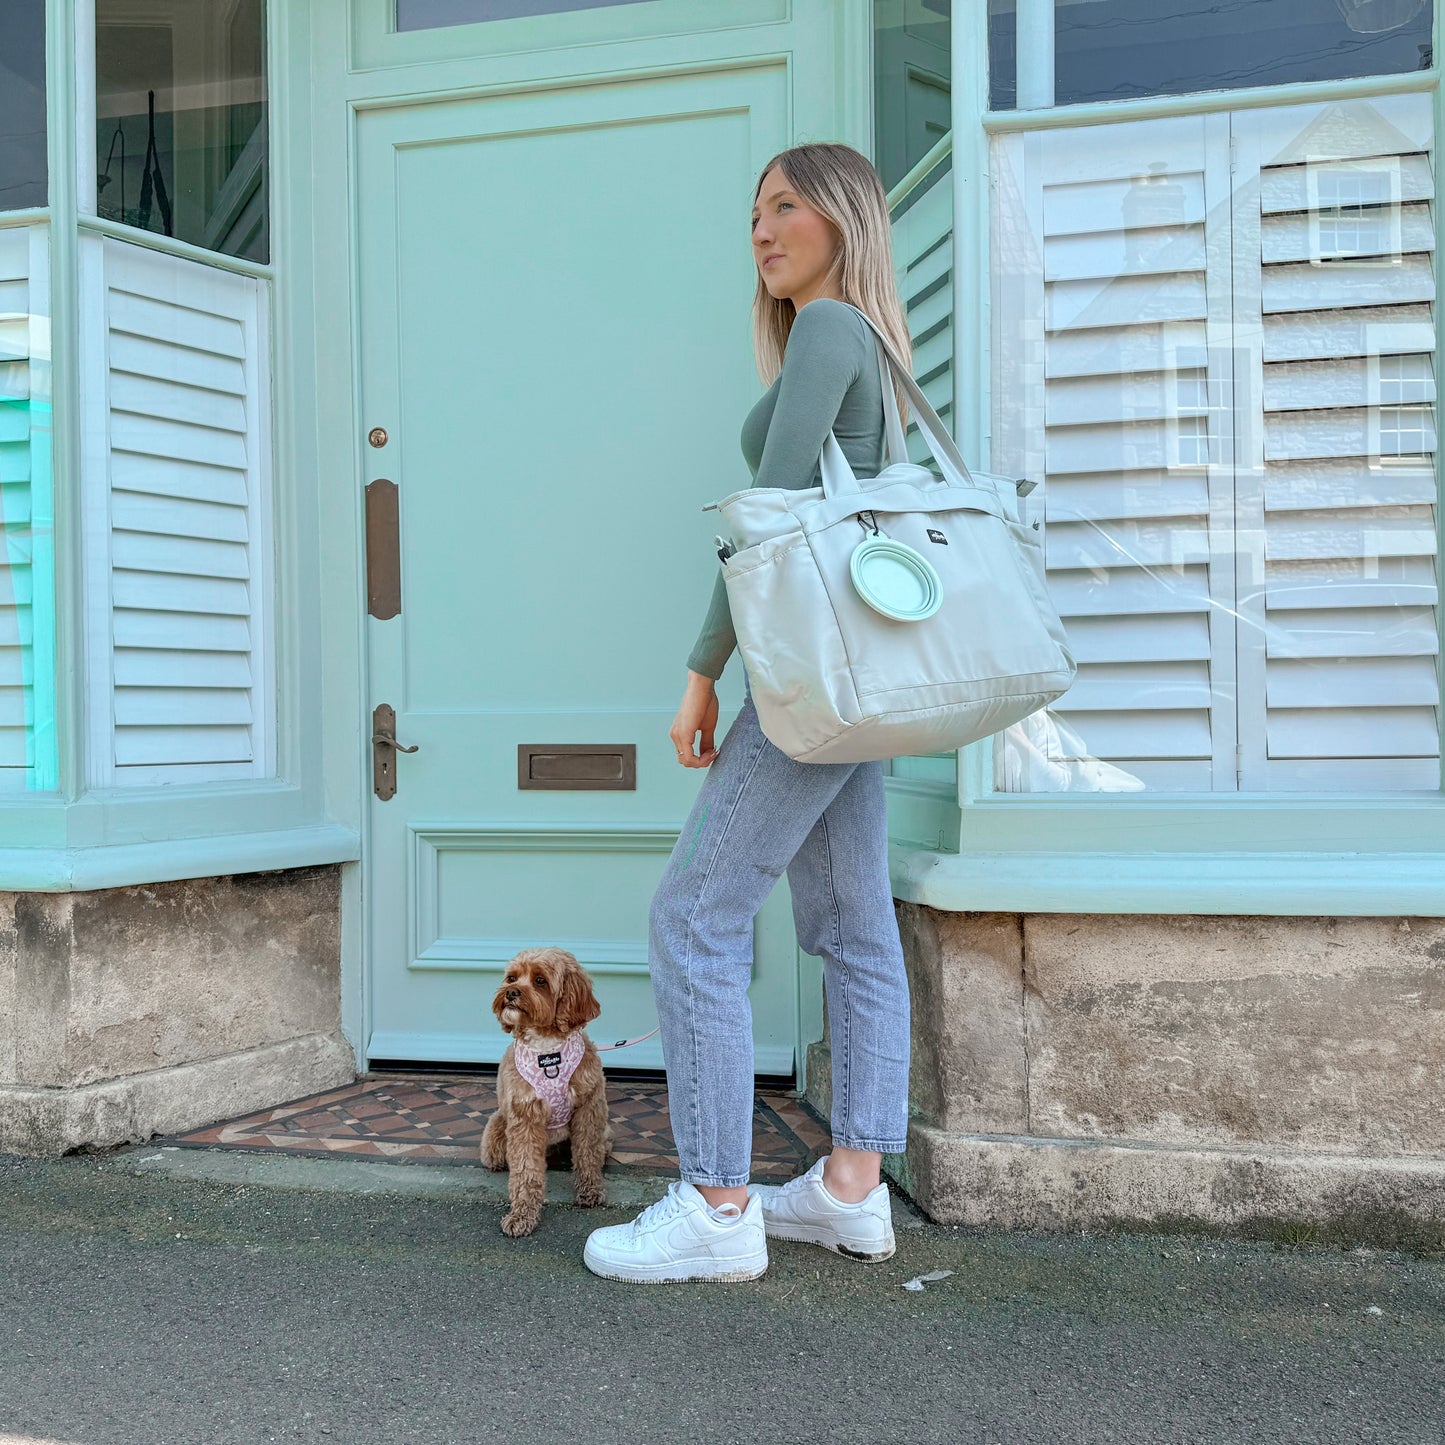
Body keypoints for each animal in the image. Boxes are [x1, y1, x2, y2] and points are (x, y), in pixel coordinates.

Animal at [476, 942, 606, 1236]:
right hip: (498, 1132)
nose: (511, 992)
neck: (547, 1051)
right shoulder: (525, 1115)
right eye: (511, 978)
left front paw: (590, 1191)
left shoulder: (589, 1108)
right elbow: (525, 1171)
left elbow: (588, 1155)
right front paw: (522, 1215)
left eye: (540, 981)